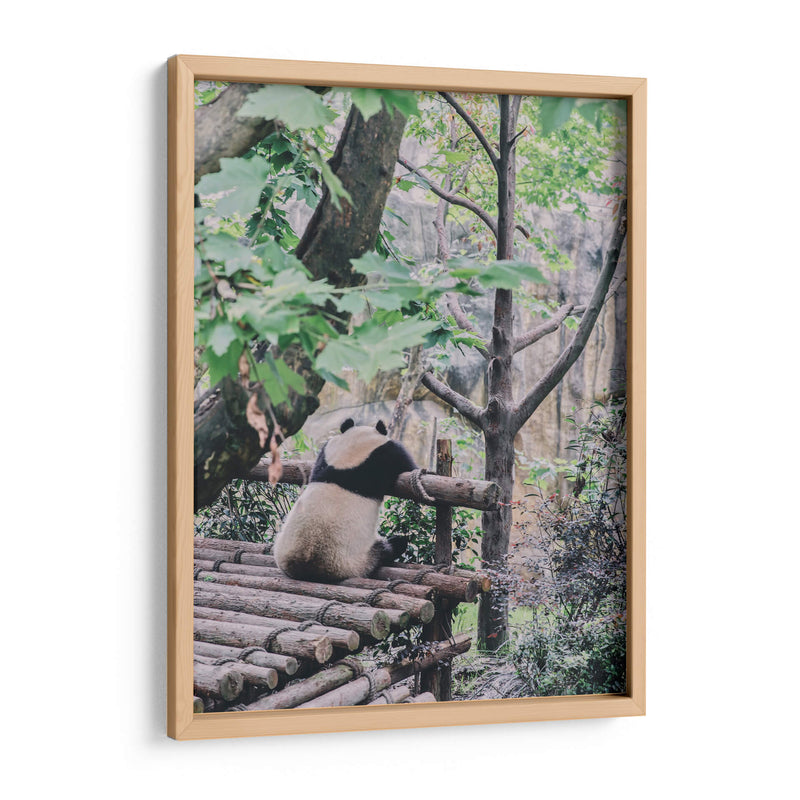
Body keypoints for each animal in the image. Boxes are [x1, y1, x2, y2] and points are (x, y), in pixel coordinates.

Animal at [273, 418, 418, 583]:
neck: (349, 455)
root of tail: (305, 566)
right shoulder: (386, 454)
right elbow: (407, 464)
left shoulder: (326, 454)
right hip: (355, 560)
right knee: (388, 548)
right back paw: (395, 545)